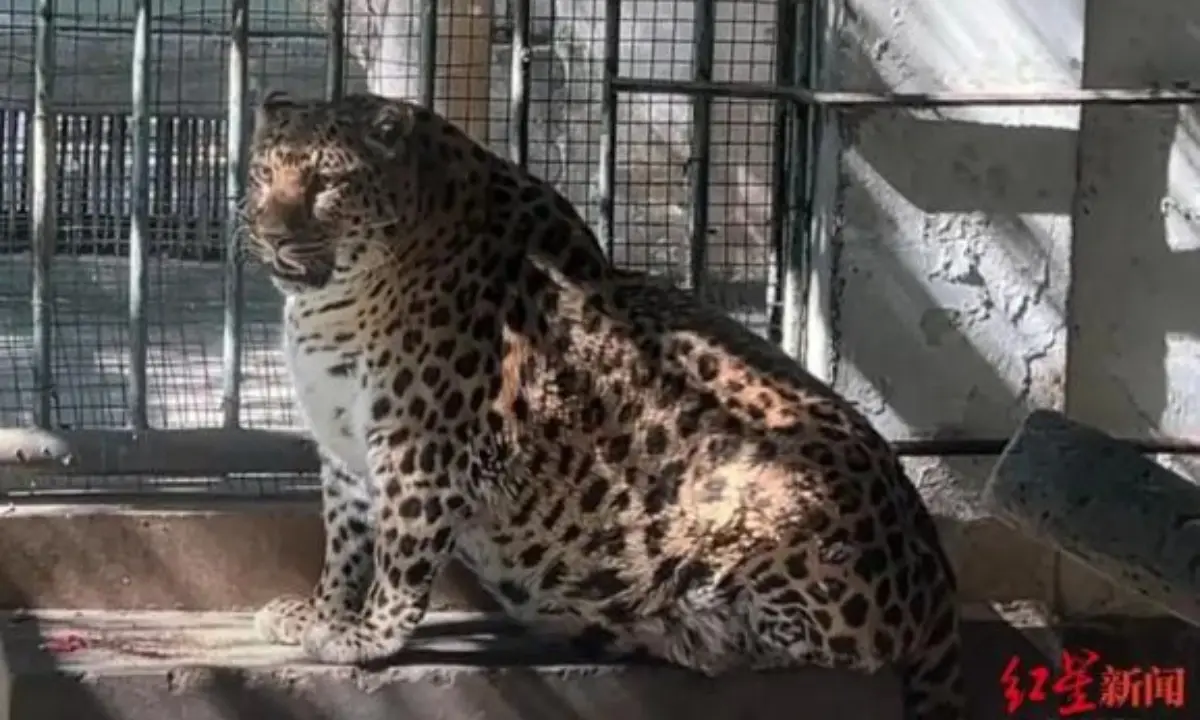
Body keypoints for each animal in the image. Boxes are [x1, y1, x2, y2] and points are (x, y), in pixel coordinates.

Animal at [240, 89, 965, 720]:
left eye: (326, 184)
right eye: (263, 175)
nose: (270, 234)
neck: (332, 302)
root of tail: (937, 579)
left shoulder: (417, 449)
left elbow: (398, 553)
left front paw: (364, 637)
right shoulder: (345, 449)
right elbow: (345, 541)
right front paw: (321, 612)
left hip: (763, 493)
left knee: (819, 655)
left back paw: (651, 623)